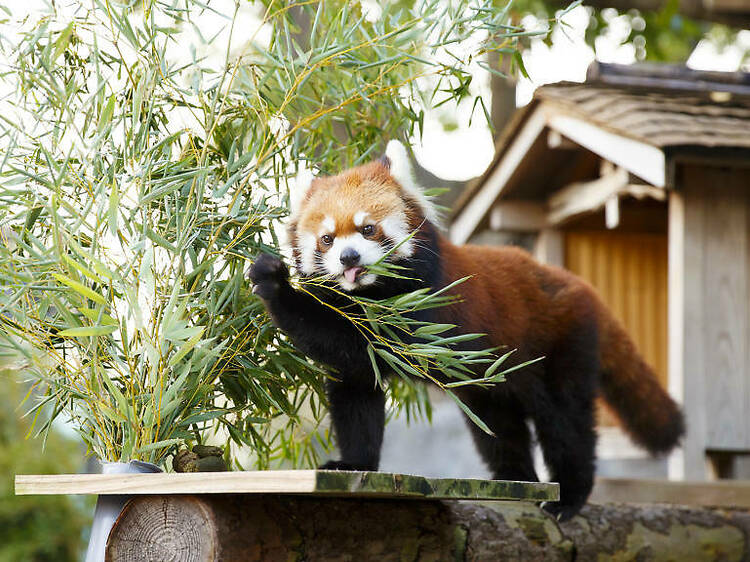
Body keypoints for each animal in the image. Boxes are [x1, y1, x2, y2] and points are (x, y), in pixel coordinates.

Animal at [251, 139, 688, 516]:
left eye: (367, 229)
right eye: (327, 239)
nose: (349, 258)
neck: (372, 295)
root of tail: (578, 285)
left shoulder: (427, 302)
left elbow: (361, 341)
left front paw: (276, 285)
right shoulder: (357, 350)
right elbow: (356, 396)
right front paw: (354, 464)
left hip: (561, 347)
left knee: (566, 423)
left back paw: (568, 497)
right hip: (493, 385)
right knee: (499, 428)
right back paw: (516, 479)